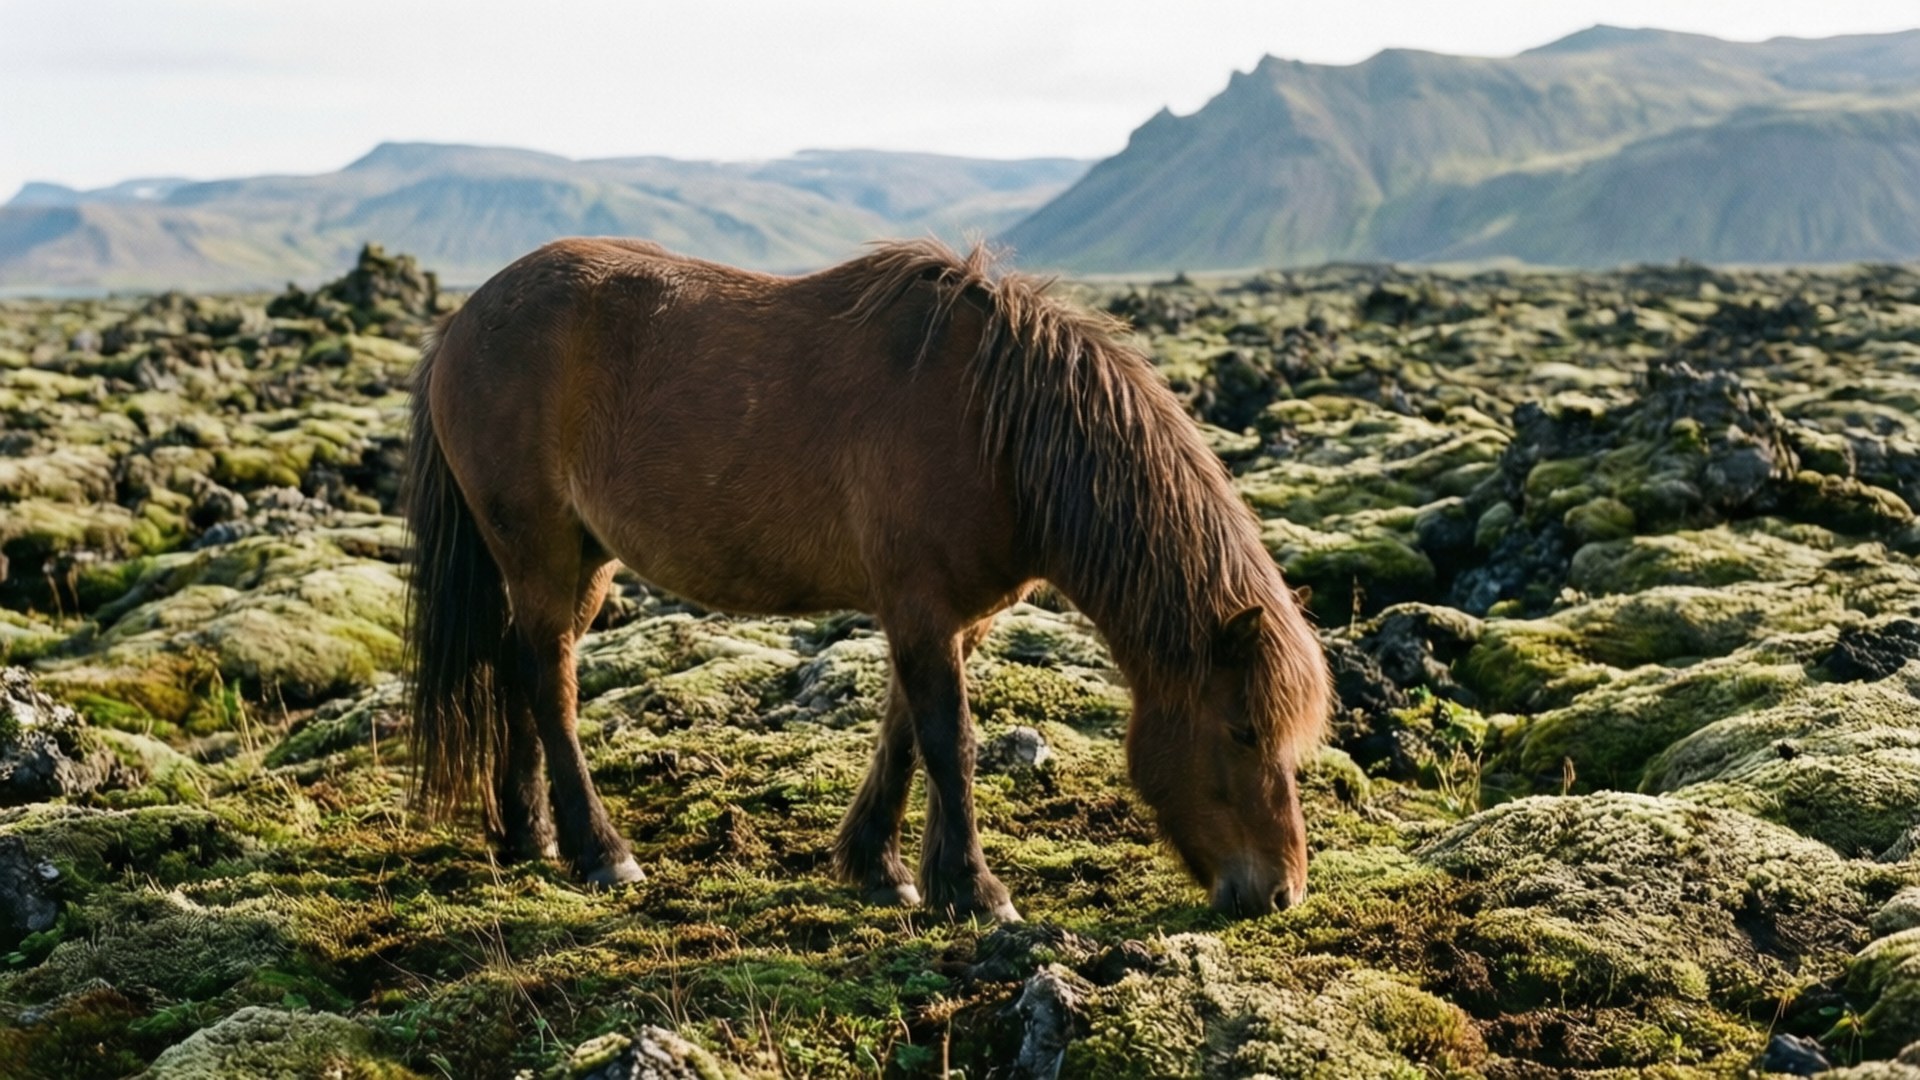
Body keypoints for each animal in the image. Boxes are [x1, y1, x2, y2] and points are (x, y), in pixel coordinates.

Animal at [403, 237, 1330, 921]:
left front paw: (884, 869)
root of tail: (464, 319)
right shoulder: (920, 605)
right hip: (539, 550)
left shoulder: (951, 615)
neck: (997, 431)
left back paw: (530, 835)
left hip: (582, 562)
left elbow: (903, 735)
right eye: (1244, 730)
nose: (1280, 894)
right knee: (548, 682)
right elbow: (950, 740)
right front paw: (976, 891)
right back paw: (602, 853)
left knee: (518, 668)